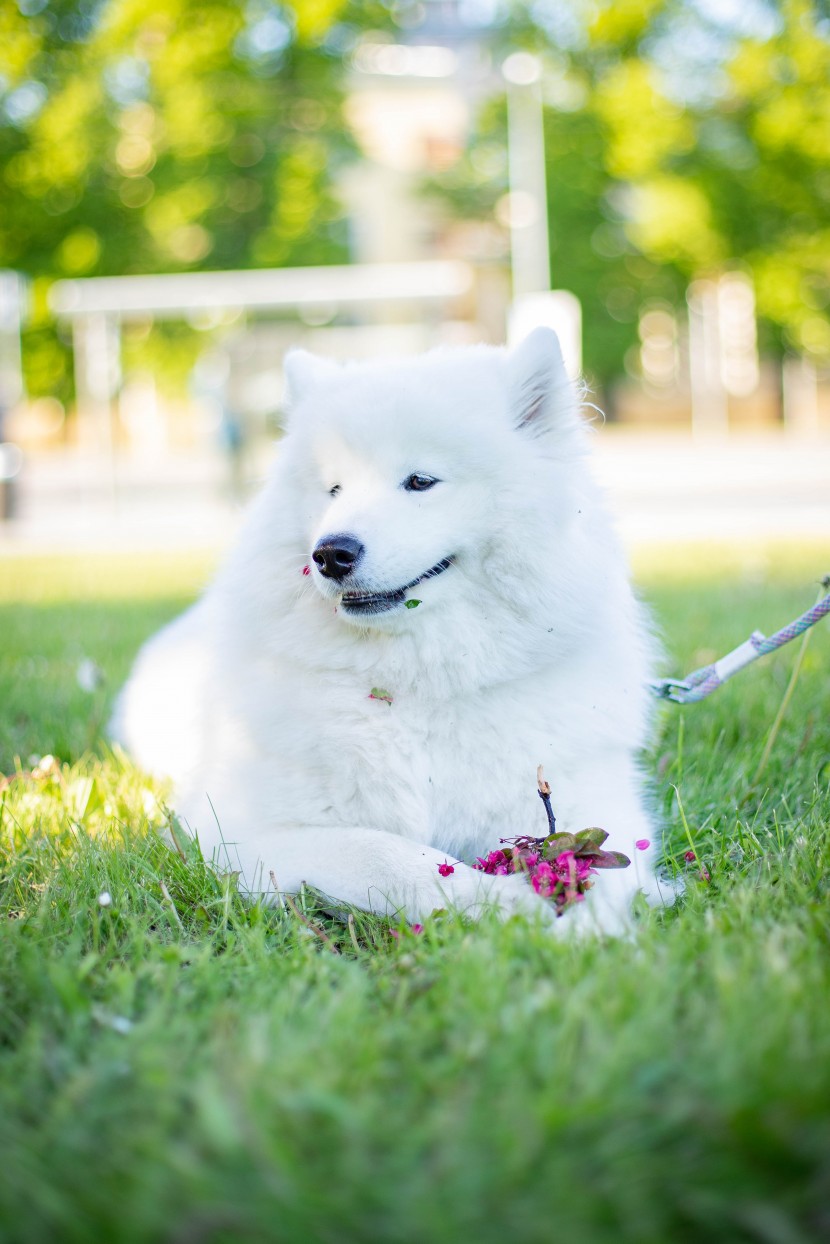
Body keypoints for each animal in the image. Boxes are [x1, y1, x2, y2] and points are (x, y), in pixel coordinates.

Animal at [115, 328, 662, 935]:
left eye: (420, 481)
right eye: (333, 489)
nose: (330, 553)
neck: (415, 682)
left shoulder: (587, 799)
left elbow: (599, 867)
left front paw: (592, 927)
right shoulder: (240, 834)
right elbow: (393, 856)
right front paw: (512, 908)